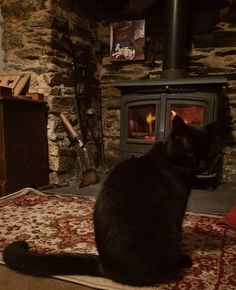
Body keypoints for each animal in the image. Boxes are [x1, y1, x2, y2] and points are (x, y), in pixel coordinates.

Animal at [2, 115, 227, 286]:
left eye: (210, 152)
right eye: (190, 154)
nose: (204, 166)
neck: (172, 161)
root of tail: (104, 267)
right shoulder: (177, 211)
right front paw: (185, 257)